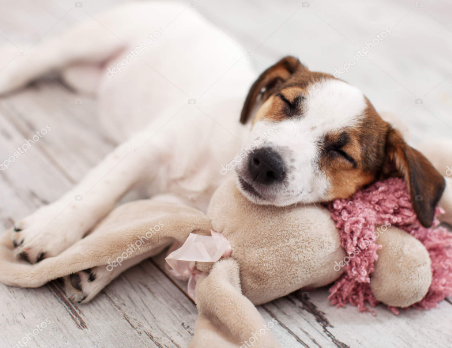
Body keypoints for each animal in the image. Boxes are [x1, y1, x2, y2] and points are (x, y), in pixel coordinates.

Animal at [0, 1, 444, 298]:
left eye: (342, 153)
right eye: (287, 103)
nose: (265, 163)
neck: (218, 169)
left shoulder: (174, 206)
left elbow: (146, 234)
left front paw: (96, 269)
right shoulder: (149, 146)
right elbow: (96, 192)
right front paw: (52, 227)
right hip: (90, 39)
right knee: (37, 59)